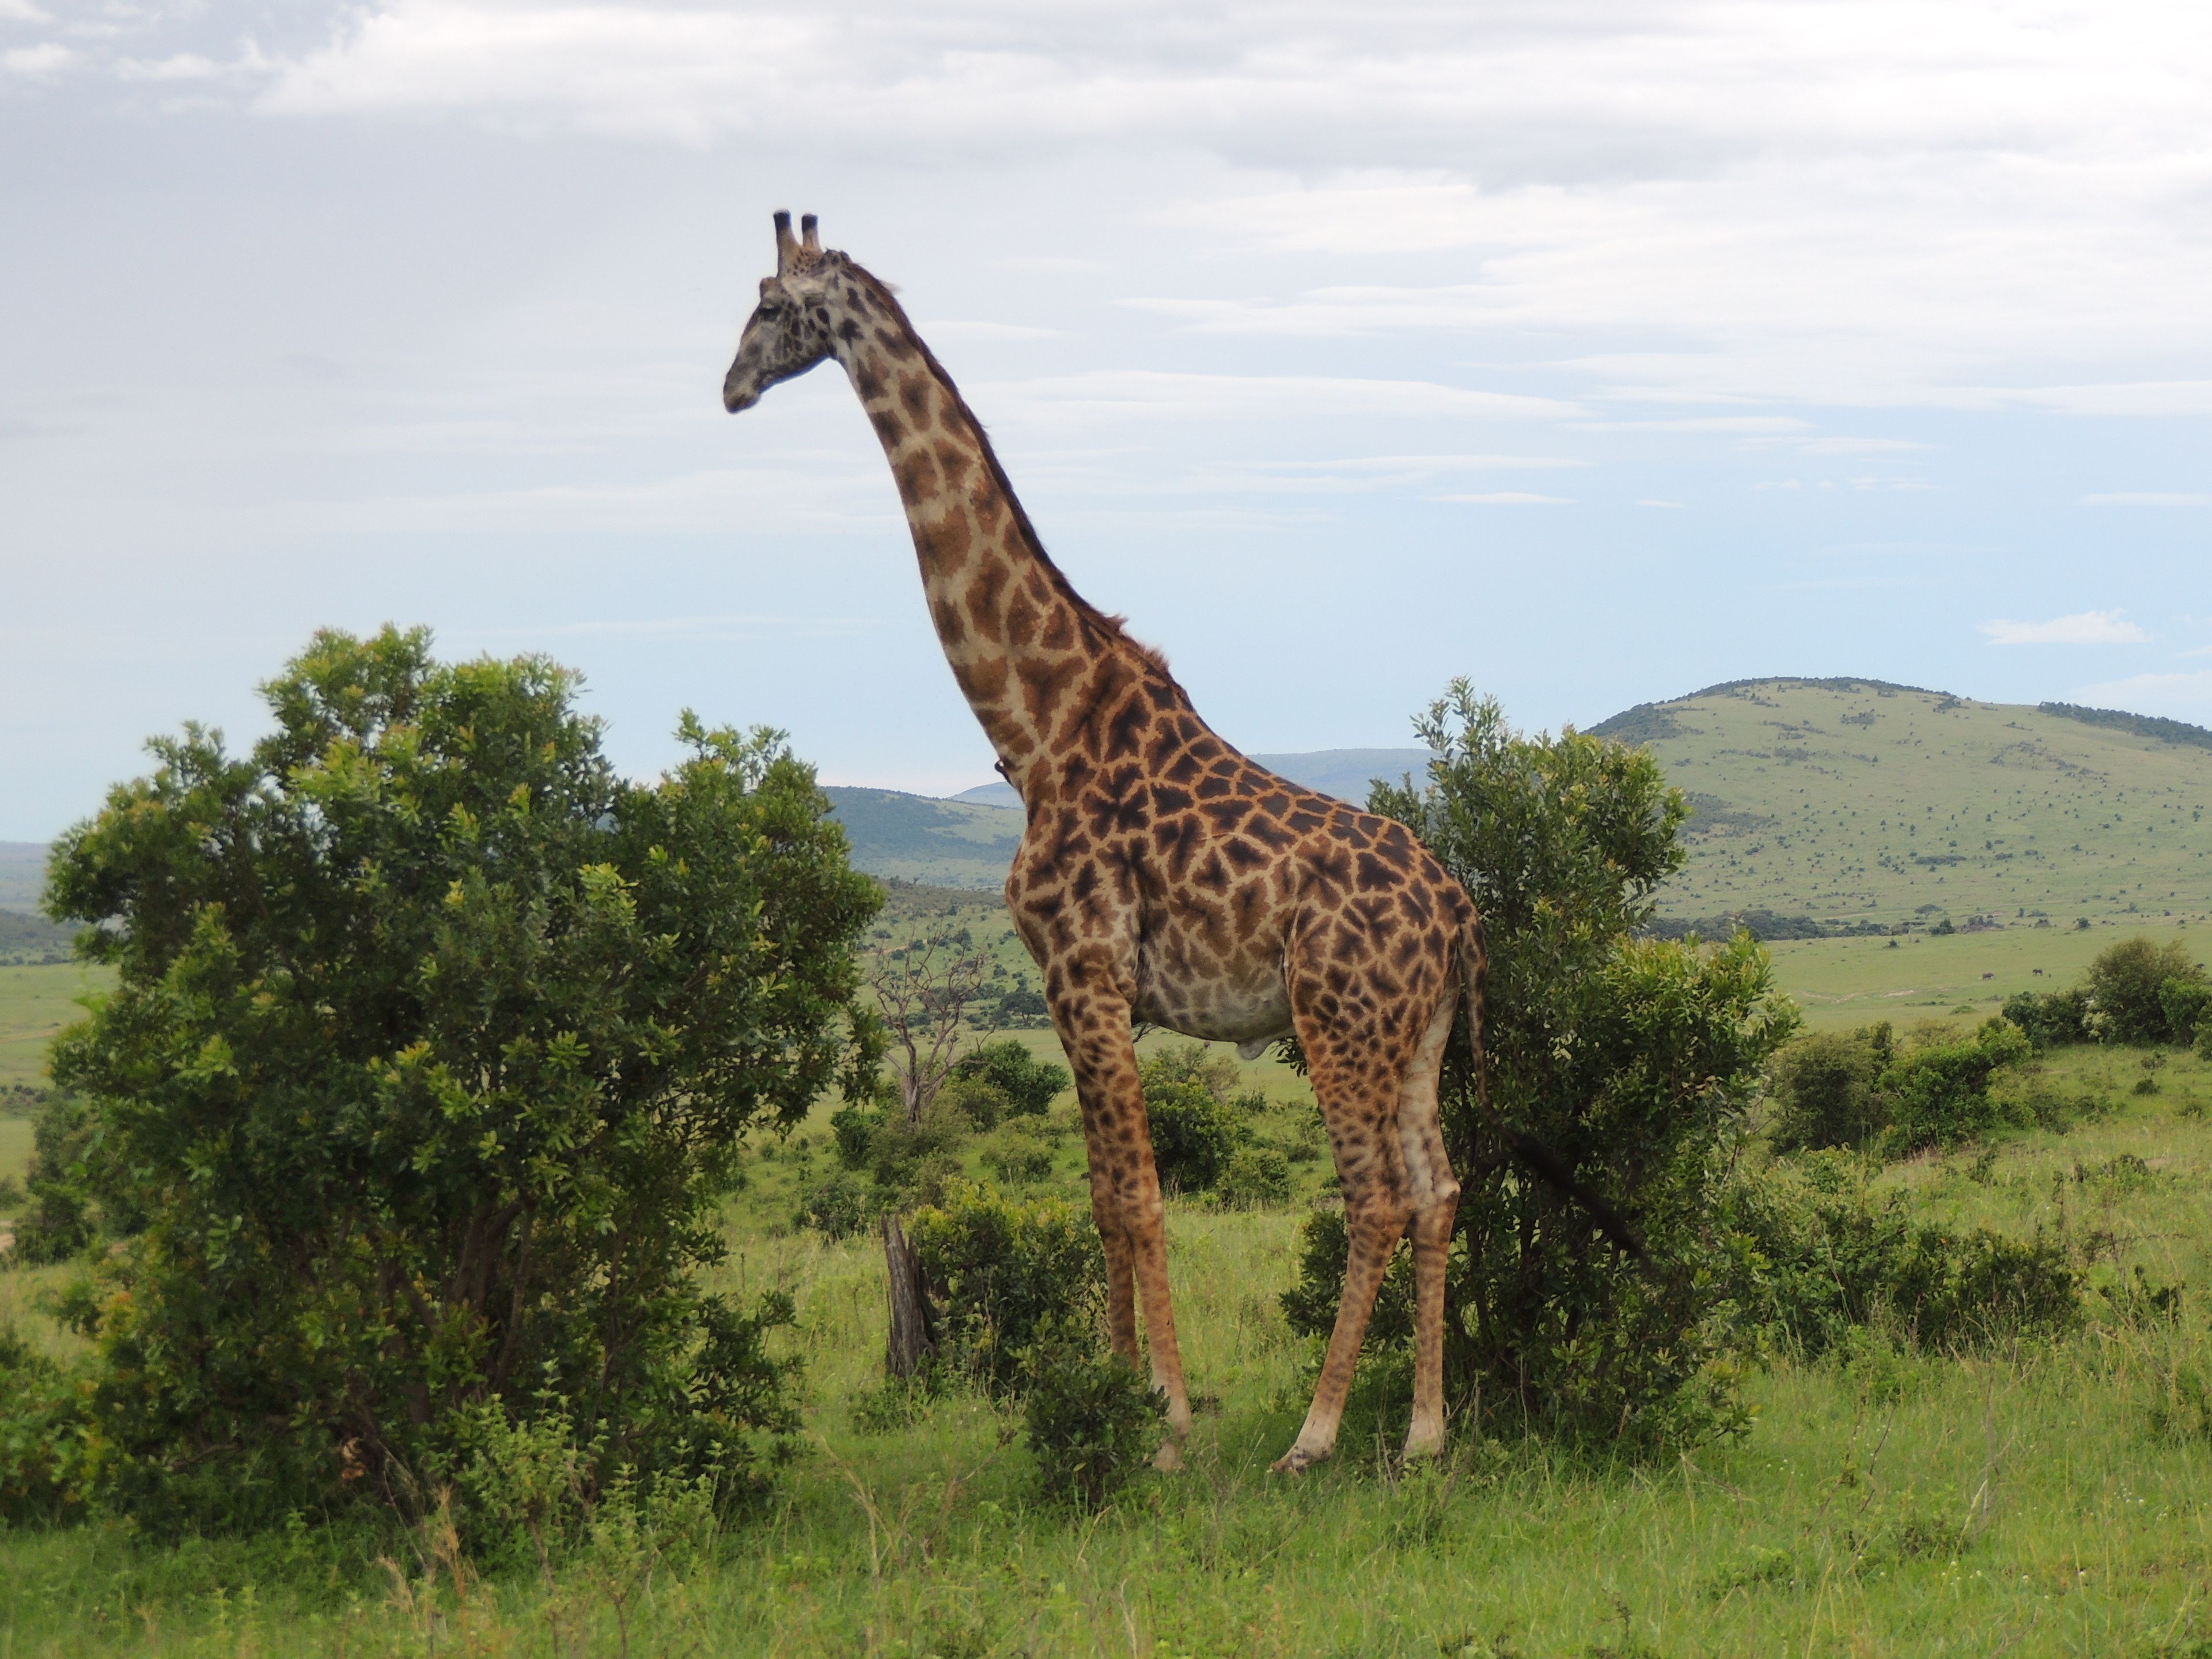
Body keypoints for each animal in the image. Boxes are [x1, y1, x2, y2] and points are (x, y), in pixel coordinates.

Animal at [722, 213, 1480, 1473]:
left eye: (771, 306)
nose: (730, 385)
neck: (1034, 722)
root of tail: (1460, 915)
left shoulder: (1085, 967)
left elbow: (1137, 1197)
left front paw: (1166, 1422)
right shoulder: (1069, 984)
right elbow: (1099, 1196)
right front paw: (1114, 1392)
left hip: (1339, 1021)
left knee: (1373, 1196)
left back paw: (1315, 1436)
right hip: (1416, 1036)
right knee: (1439, 1189)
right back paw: (1422, 1434)